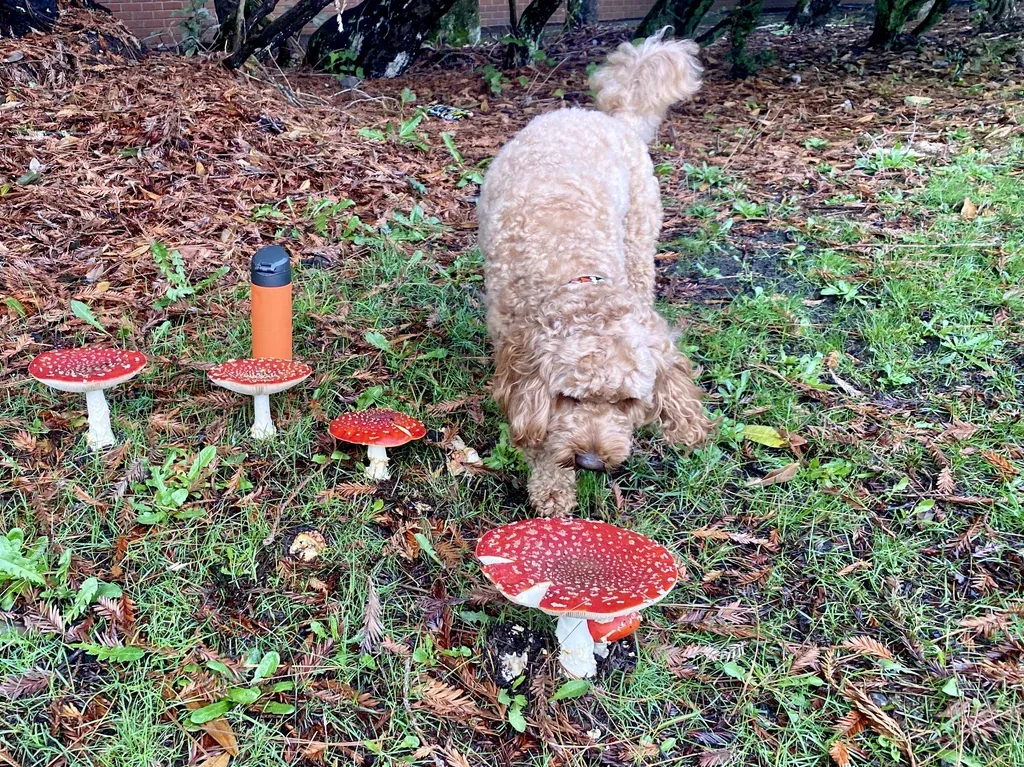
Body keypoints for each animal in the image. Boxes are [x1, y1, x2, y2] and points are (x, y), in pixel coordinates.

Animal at [477, 33, 712, 518]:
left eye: (627, 402)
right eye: (569, 397)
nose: (591, 461)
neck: (574, 269)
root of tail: (608, 116)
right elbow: (540, 432)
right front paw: (552, 489)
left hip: (640, 234)